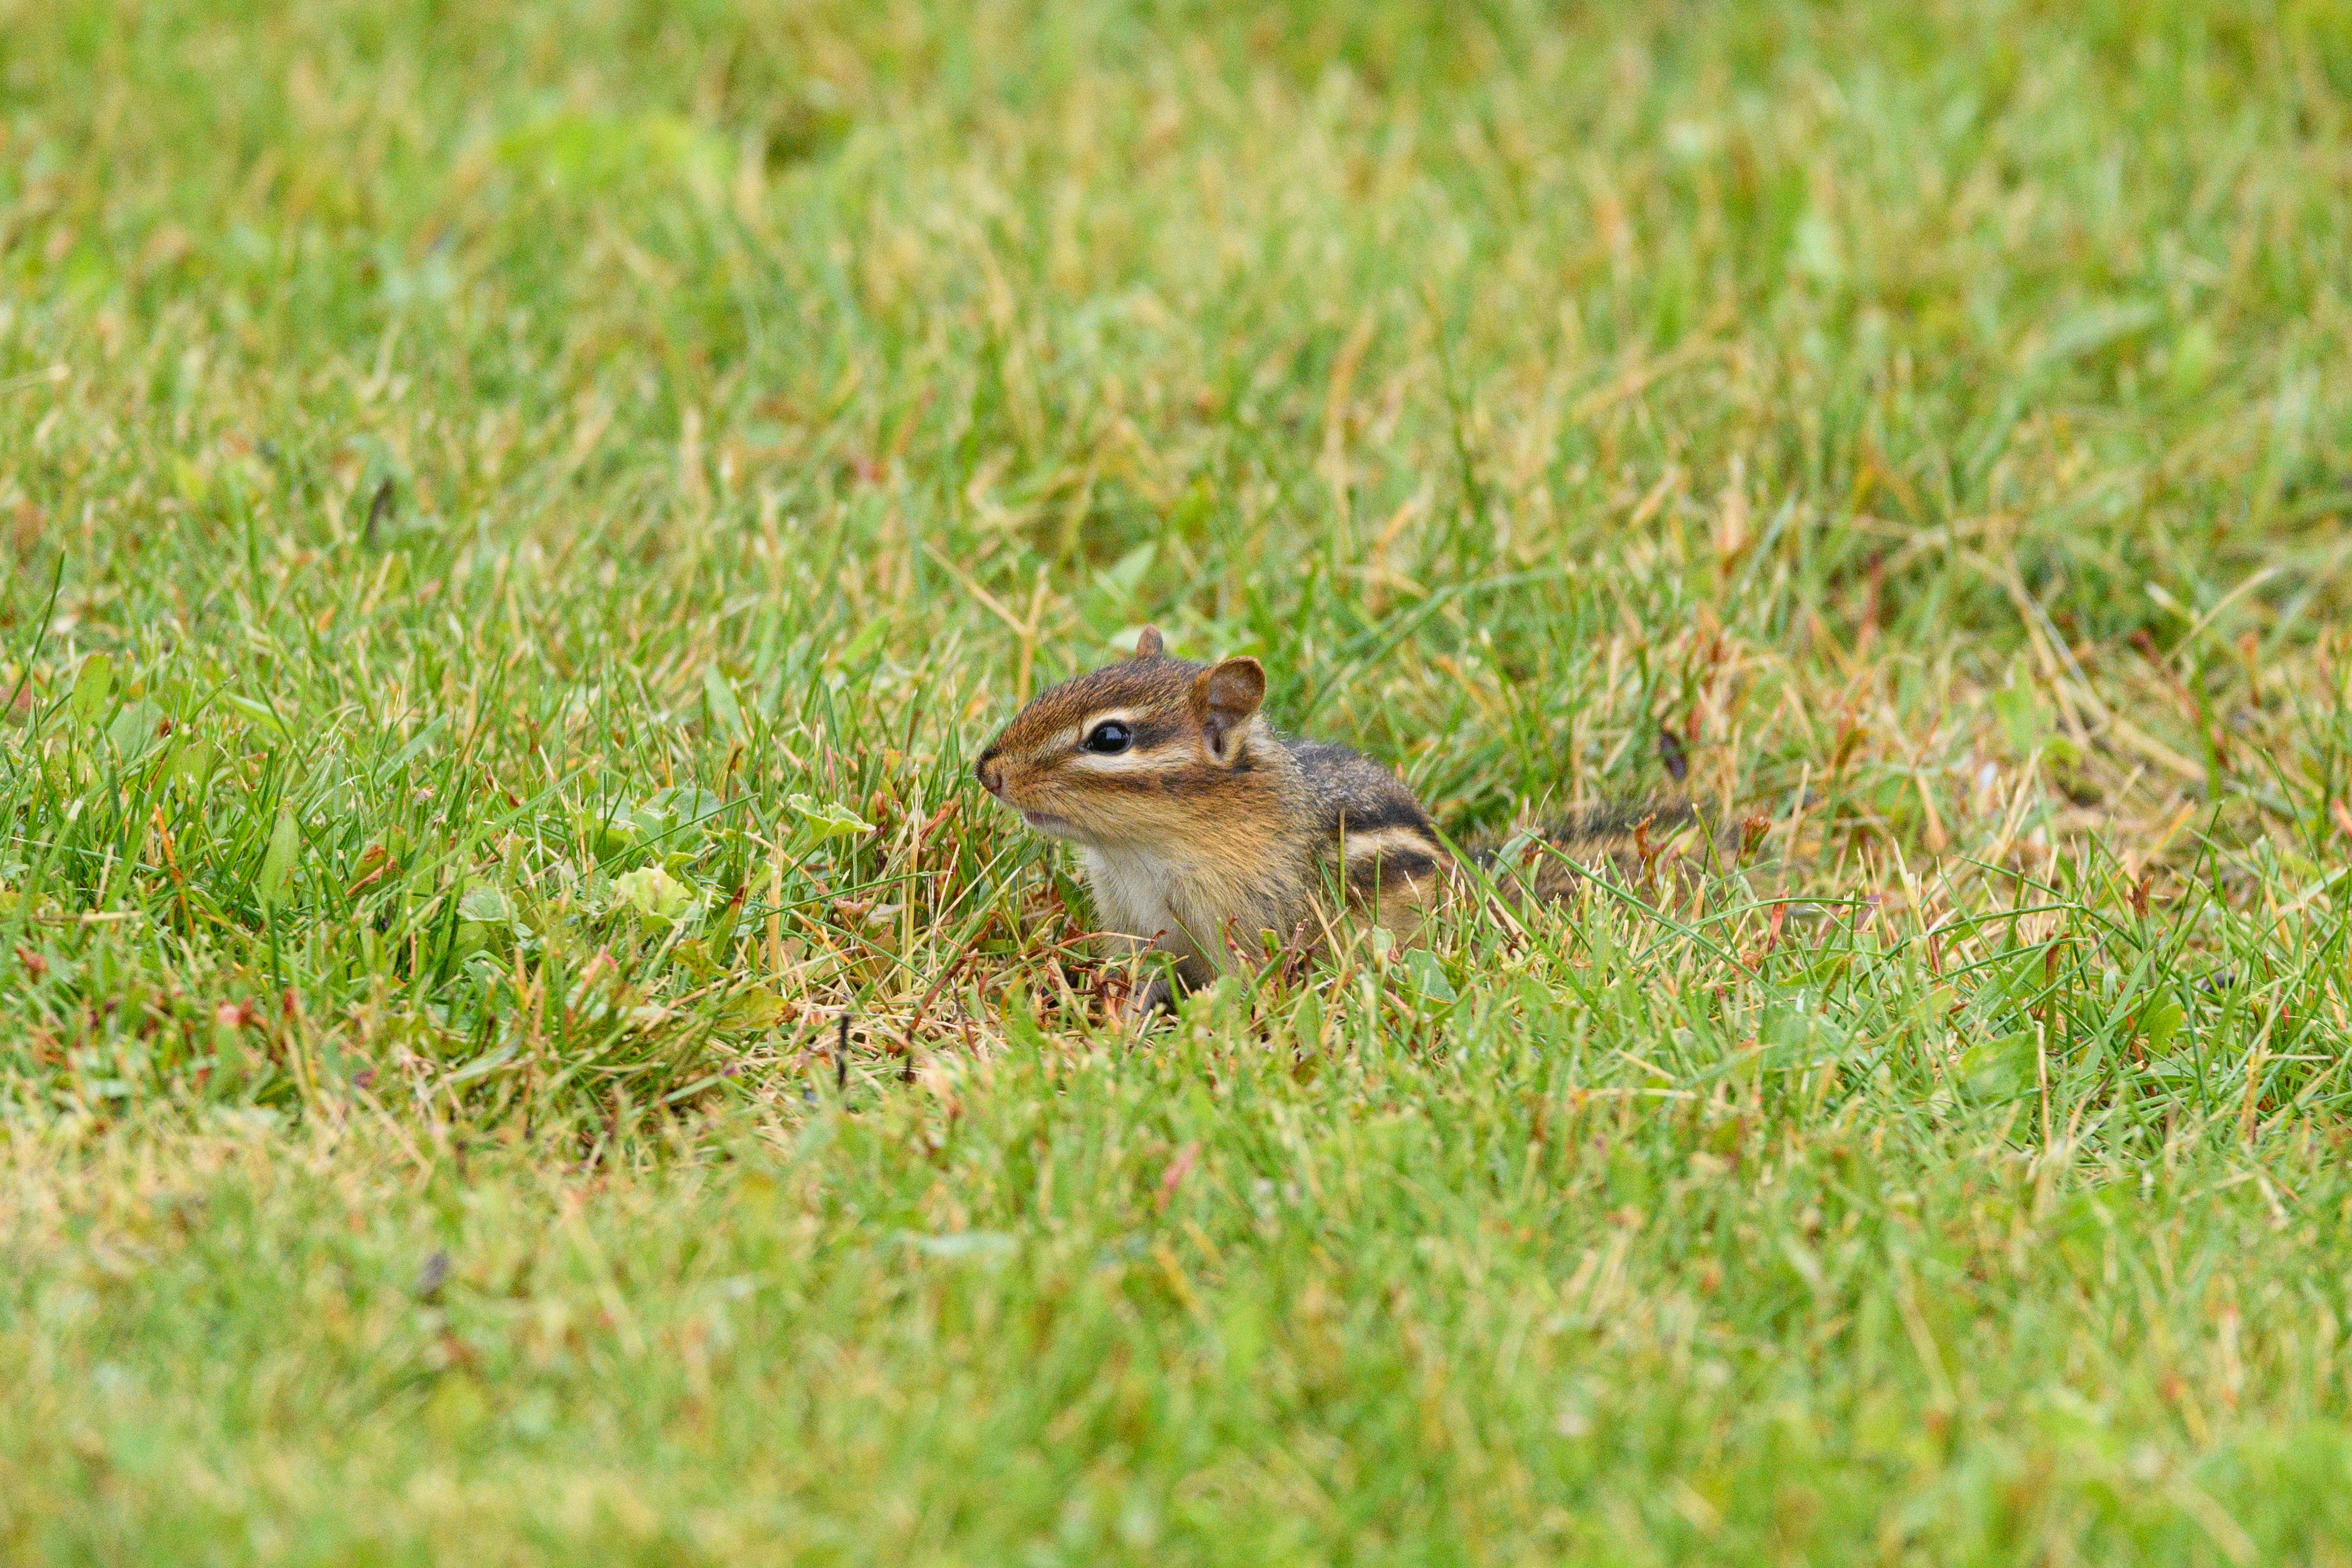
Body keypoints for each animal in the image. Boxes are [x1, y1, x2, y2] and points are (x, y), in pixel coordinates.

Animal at [975, 627, 1698, 1014]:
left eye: (1110, 738)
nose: (987, 771)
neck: (1141, 850)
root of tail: (1481, 890)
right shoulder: (1133, 928)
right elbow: (1142, 981)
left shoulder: (1251, 928)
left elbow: (1243, 985)